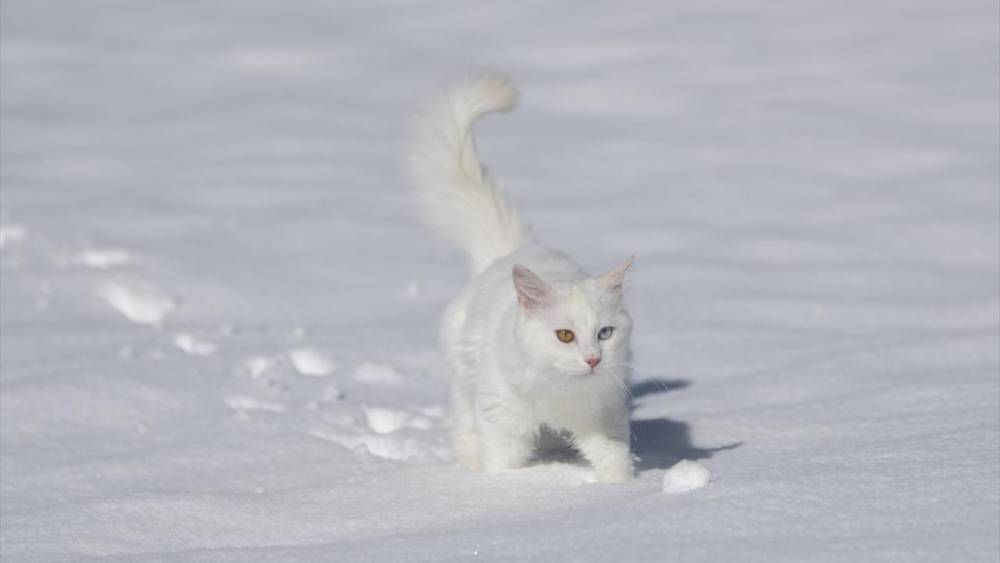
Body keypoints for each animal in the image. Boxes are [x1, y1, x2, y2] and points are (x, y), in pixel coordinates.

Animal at [406, 71, 632, 484]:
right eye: (565, 335)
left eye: (605, 333)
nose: (593, 359)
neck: (558, 394)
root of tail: (513, 250)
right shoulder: (502, 422)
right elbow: (503, 469)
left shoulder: (605, 417)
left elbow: (616, 462)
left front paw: (620, 489)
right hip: (466, 385)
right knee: (465, 430)